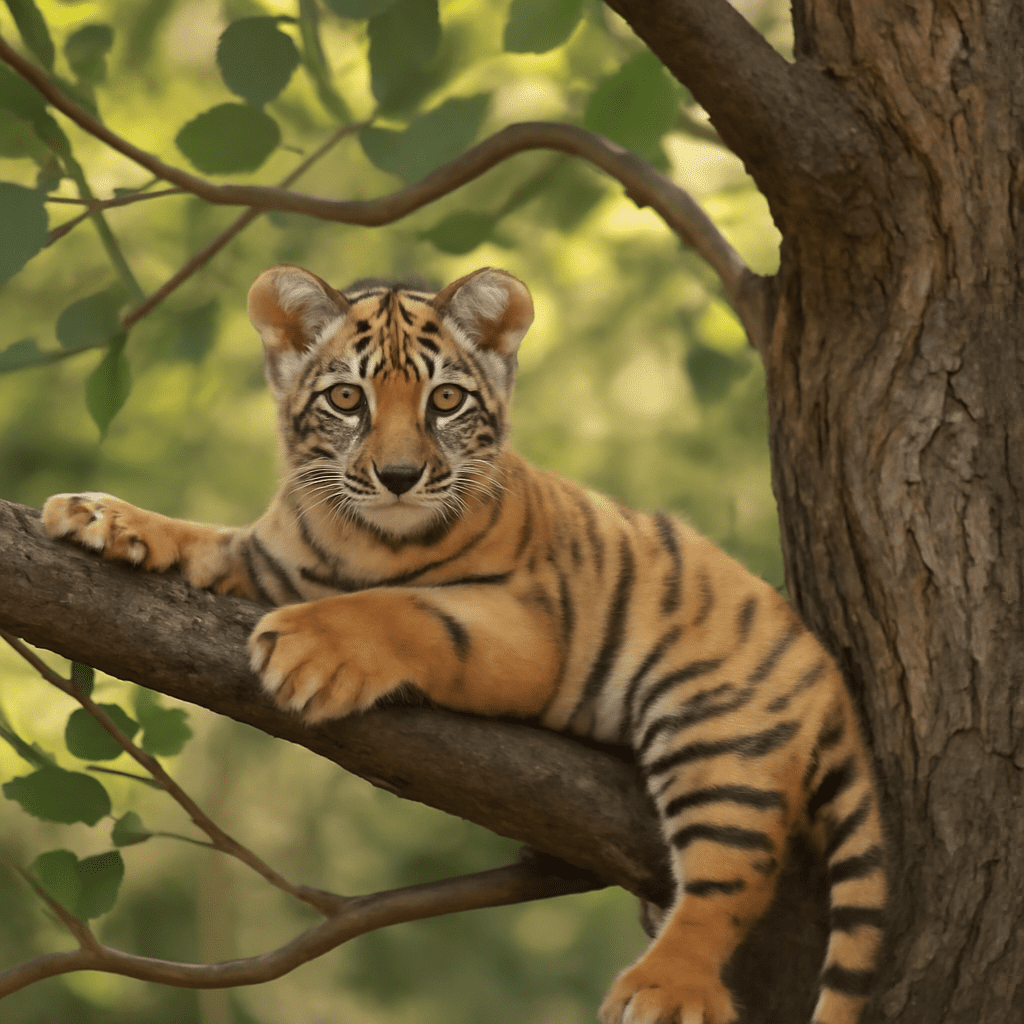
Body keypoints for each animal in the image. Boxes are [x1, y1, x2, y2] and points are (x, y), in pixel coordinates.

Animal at [42, 264, 887, 1024]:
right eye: (347, 398)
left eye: (445, 399)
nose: (399, 476)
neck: (364, 537)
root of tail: (828, 672)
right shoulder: (270, 562)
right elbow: (206, 538)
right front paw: (98, 515)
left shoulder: (528, 623)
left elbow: (407, 611)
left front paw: (312, 647)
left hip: (721, 738)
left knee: (732, 877)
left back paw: (663, 988)